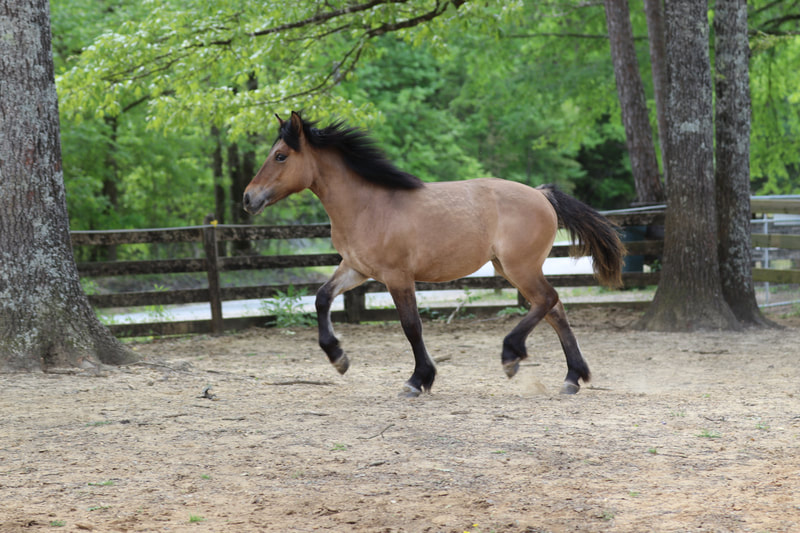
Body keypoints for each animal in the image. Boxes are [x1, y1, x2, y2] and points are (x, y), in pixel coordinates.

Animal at [244, 111, 624, 394]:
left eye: (280, 156)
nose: (248, 198)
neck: (367, 206)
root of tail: (542, 194)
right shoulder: (357, 269)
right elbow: (322, 298)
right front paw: (339, 358)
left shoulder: (397, 276)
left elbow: (411, 326)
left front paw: (418, 380)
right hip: (508, 267)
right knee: (555, 310)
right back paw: (572, 378)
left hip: (521, 268)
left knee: (547, 300)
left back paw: (511, 356)